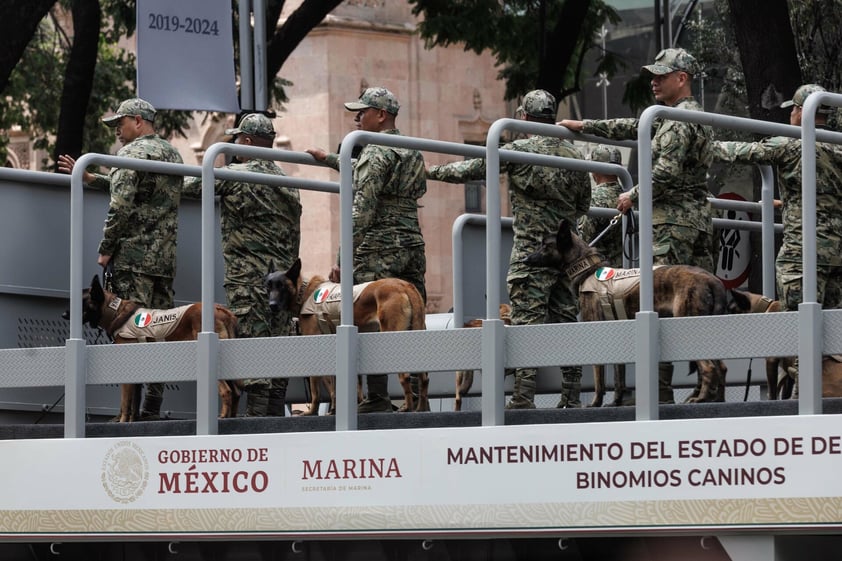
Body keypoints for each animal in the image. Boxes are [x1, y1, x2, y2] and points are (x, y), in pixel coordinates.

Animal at [66, 274, 240, 422]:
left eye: (79, 302)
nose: (63, 314)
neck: (116, 313)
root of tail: (221, 309)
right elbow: (134, 402)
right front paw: (132, 421)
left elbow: (125, 403)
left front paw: (122, 421)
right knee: (236, 392)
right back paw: (232, 417)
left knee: (226, 390)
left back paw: (222, 416)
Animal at [266, 260, 430, 414]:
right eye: (268, 286)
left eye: (282, 286)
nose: (272, 305)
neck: (303, 292)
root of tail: (404, 285)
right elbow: (343, 385)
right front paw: (337, 409)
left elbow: (317, 388)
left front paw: (313, 411)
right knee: (424, 377)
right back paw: (421, 408)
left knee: (405, 376)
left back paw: (408, 408)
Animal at [520, 217, 724, 404]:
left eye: (545, 245)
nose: (524, 259)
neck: (587, 269)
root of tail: (712, 280)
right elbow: (619, 374)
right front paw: (617, 401)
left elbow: (599, 377)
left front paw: (596, 404)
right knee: (721, 367)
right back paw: (717, 399)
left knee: (709, 368)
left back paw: (701, 399)